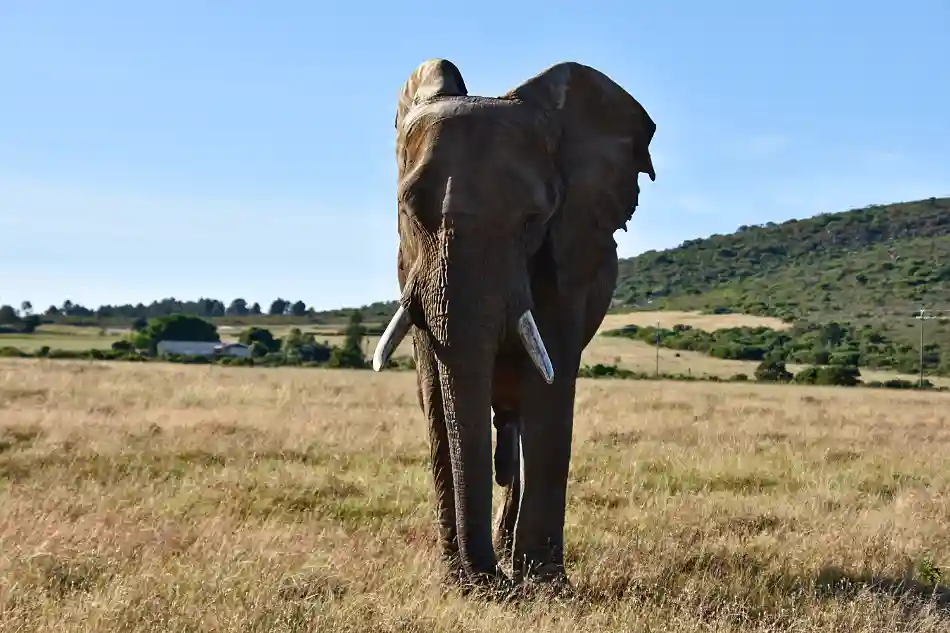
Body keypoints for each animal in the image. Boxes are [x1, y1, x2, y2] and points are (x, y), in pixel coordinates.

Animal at [372, 58, 657, 592]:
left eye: (533, 218)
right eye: (408, 208)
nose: (488, 580)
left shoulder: (569, 252)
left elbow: (550, 386)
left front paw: (545, 586)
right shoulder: (410, 266)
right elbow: (435, 394)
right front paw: (457, 583)